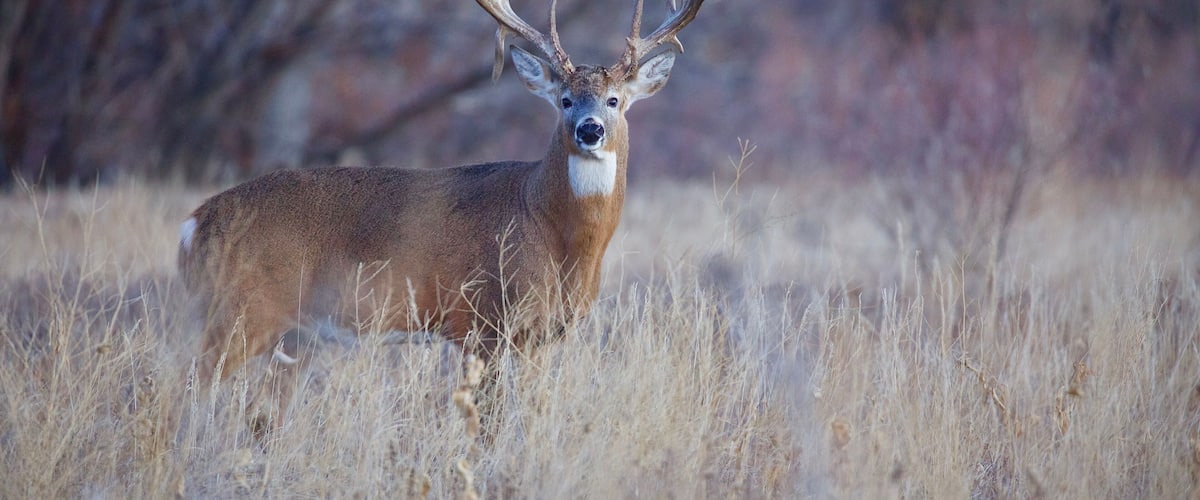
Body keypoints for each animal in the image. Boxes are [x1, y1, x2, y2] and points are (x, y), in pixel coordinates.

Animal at [178, 0, 704, 431]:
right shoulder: (482, 321)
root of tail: (194, 224)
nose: (590, 129)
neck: (549, 229)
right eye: (565, 99)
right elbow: (486, 424)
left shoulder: (540, 336)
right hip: (242, 309)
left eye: (615, 100)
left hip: (291, 334)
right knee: (188, 388)